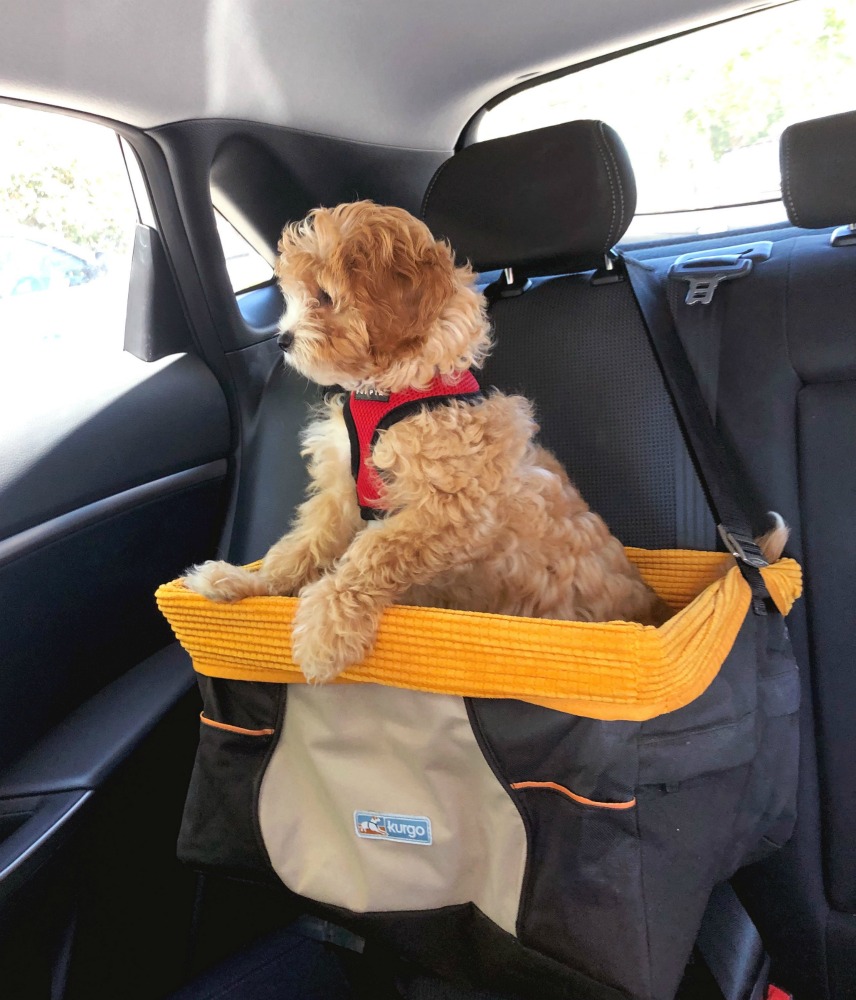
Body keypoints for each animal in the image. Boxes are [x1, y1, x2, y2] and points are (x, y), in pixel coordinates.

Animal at [184, 199, 672, 684]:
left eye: (324, 296)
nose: (282, 340)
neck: (393, 389)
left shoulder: (450, 510)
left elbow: (374, 552)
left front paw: (326, 627)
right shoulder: (341, 493)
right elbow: (303, 545)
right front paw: (245, 583)